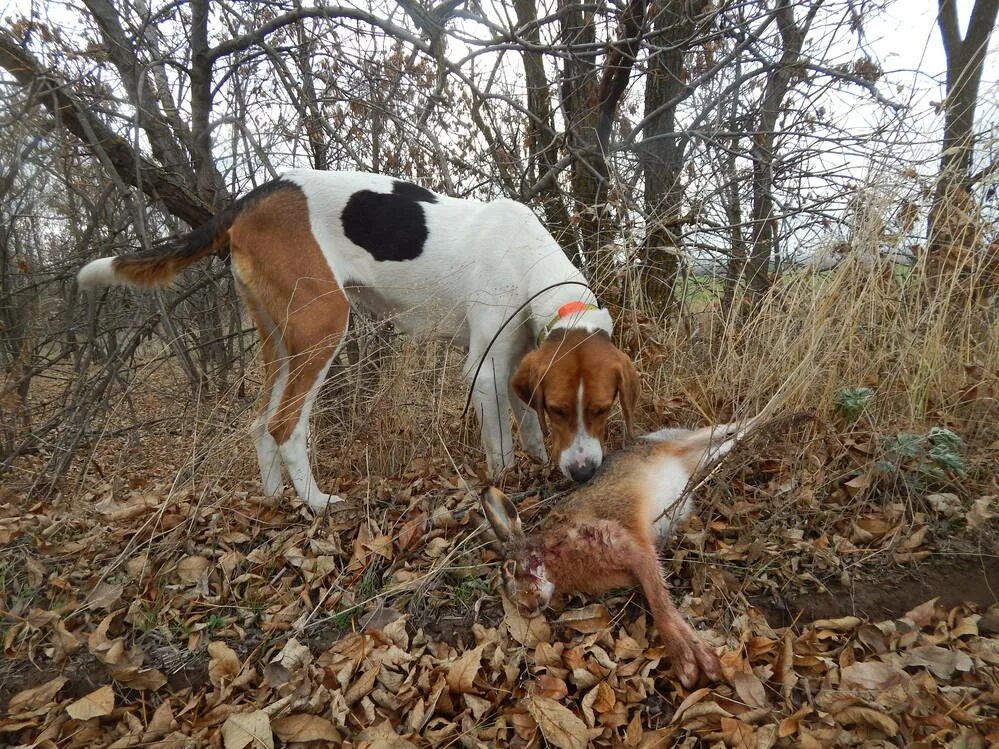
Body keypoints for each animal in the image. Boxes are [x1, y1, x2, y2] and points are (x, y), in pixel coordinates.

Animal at [80, 171, 640, 508]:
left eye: (604, 409)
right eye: (562, 410)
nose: (584, 474)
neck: (530, 264)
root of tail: (257, 195)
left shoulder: (517, 360)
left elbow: (524, 424)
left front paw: (539, 461)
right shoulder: (483, 371)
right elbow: (501, 447)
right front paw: (506, 487)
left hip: (278, 340)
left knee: (260, 423)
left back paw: (275, 501)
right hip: (324, 325)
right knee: (285, 426)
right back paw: (317, 504)